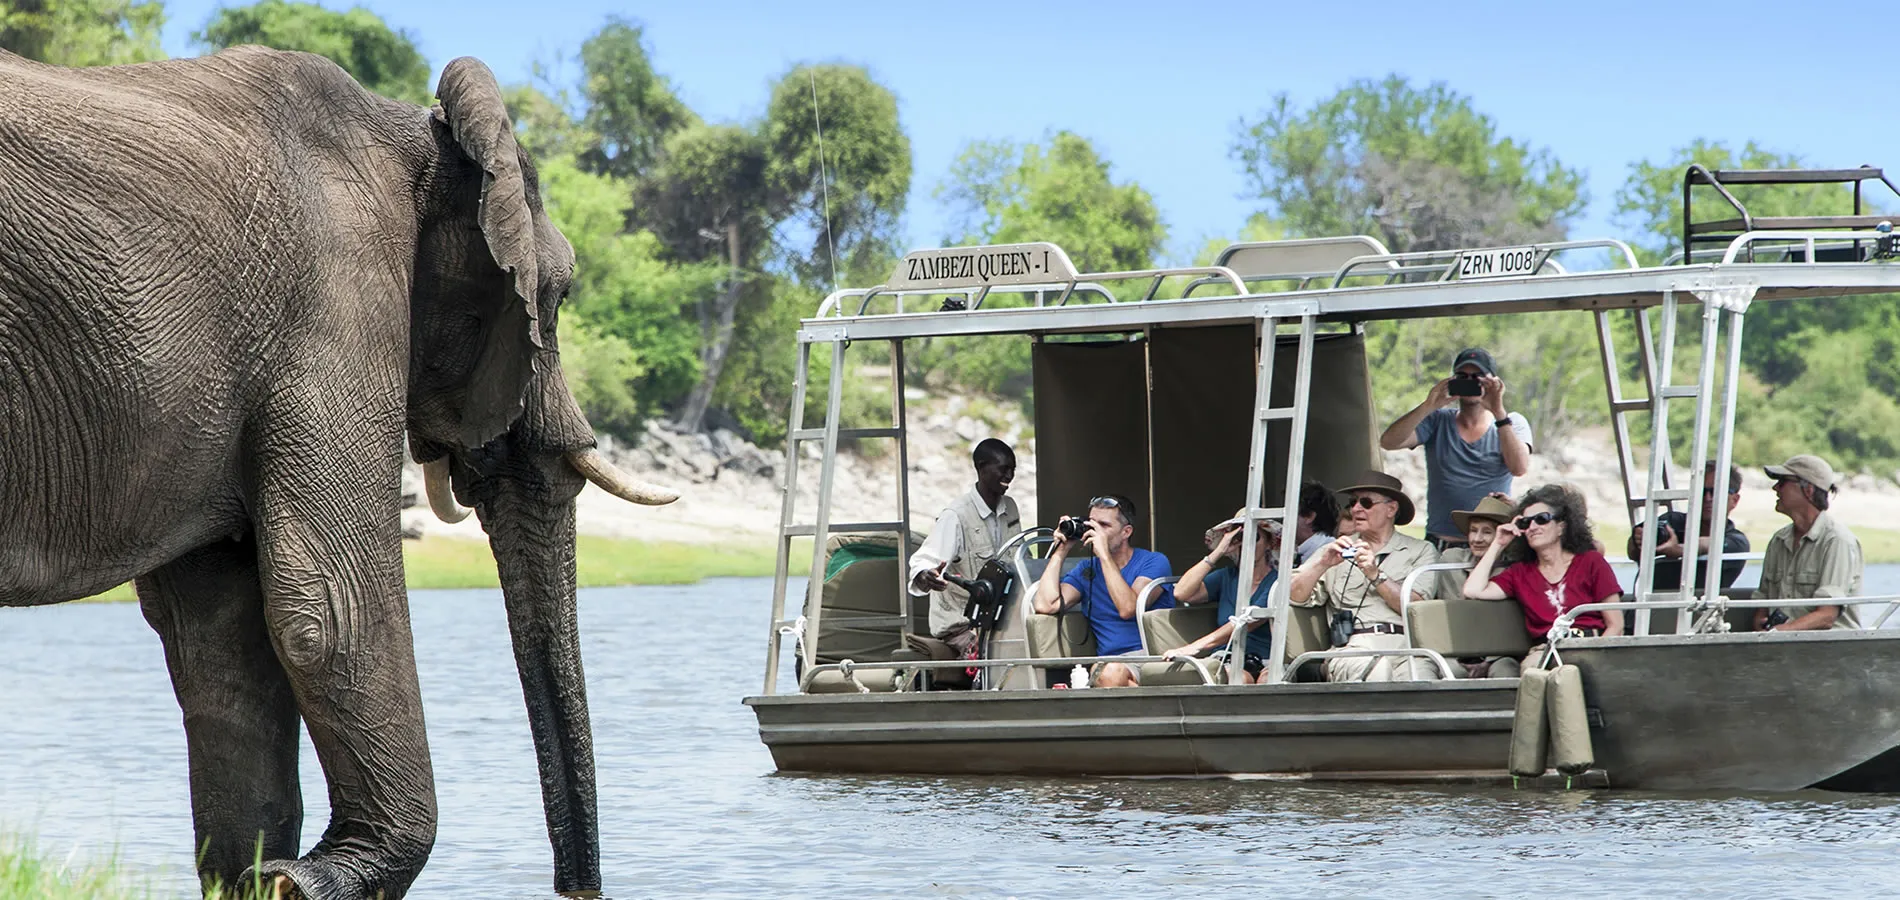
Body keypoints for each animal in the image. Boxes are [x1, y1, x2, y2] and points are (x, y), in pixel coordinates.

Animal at [0, 46, 678, 898]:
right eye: (556, 297)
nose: (577, 889)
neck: (417, 137)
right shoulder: (334, 304)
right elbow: (329, 605)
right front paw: (314, 877)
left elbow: (219, 636)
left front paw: (264, 877)